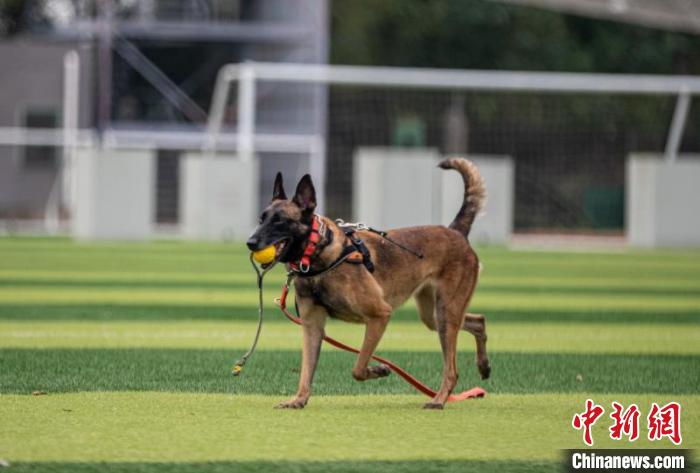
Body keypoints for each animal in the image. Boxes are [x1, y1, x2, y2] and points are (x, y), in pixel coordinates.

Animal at [249, 157, 490, 408]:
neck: (319, 254)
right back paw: (483, 366)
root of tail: (456, 232)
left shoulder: (379, 315)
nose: (250, 242)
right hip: (433, 315)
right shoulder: (312, 326)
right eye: (261, 219)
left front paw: (378, 370)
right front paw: (299, 400)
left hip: (445, 314)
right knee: (478, 321)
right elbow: (307, 370)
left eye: (280, 221)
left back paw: (439, 400)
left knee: (451, 369)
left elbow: (358, 367)